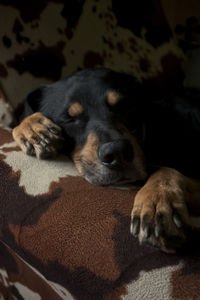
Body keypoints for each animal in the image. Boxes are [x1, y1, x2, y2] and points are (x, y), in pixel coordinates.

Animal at [12, 67, 200, 251]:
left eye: (124, 106)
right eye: (68, 119)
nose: (117, 152)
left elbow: (165, 171)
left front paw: (157, 203)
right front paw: (31, 126)